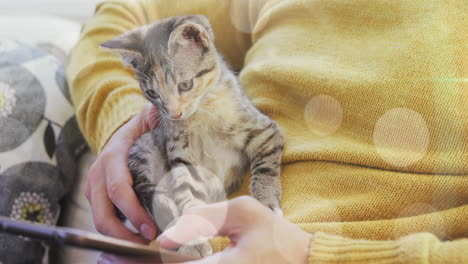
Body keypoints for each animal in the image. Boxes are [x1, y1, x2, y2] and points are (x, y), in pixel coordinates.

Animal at [102, 14, 284, 258]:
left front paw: (264, 204)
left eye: (185, 85)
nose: (174, 114)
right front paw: (192, 240)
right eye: (152, 93)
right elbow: (187, 195)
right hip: (145, 145)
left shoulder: (265, 131)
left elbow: (266, 167)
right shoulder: (182, 157)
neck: (202, 114)